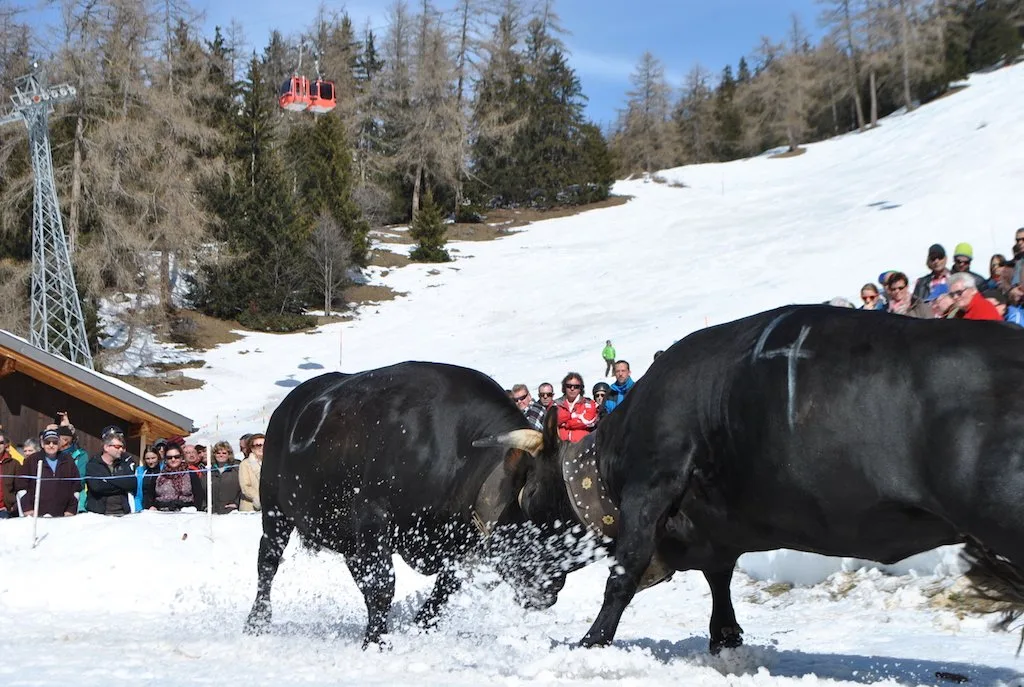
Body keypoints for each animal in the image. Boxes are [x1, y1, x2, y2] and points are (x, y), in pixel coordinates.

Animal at [244, 362, 581, 647]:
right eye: (534, 500)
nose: (551, 589)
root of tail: (289, 404)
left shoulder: (459, 544)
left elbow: (444, 589)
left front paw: (418, 628)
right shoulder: (373, 513)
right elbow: (382, 585)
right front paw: (376, 643)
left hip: (346, 535)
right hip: (274, 508)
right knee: (267, 561)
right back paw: (257, 622)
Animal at [476, 305, 1024, 652]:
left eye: (527, 497)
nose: (504, 568)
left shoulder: (652, 485)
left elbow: (623, 572)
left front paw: (591, 642)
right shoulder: (713, 526)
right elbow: (719, 577)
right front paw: (725, 637)